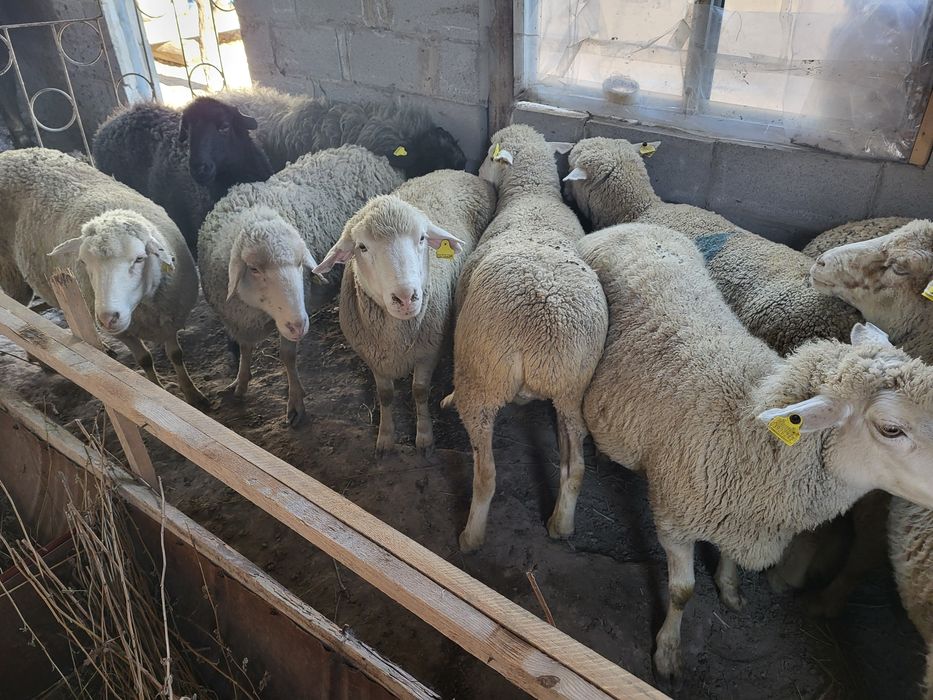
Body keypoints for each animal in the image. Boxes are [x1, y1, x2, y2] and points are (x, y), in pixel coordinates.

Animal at [0, 147, 208, 407]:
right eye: (83, 262)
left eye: (139, 258)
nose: (108, 318)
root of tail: (12, 153)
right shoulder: (126, 332)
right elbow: (145, 360)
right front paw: (158, 390)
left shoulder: (169, 316)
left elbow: (176, 354)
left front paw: (194, 395)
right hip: (11, 274)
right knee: (21, 311)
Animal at [197, 145, 404, 427]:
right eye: (254, 269)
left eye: (299, 264)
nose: (299, 325)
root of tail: (365, 153)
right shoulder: (239, 318)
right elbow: (245, 349)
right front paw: (240, 383)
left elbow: (287, 357)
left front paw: (295, 401)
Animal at [313, 170, 496, 455]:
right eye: (362, 247)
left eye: (422, 238)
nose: (407, 297)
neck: (396, 336)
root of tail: (456, 171)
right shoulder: (374, 357)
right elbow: (385, 395)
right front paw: (386, 438)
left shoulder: (428, 352)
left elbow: (419, 391)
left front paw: (424, 436)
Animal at [441, 124, 609, 552]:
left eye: (490, 152)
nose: (478, 170)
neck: (533, 196)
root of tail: (542, 335)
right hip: (572, 390)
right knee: (575, 468)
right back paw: (561, 524)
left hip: (482, 379)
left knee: (486, 476)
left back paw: (471, 537)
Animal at [578, 223, 933, 678]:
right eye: (891, 428)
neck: (746, 435)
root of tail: (631, 226)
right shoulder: (673, 520)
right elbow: (682, 592)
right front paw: (668, 652)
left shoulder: (739, 517)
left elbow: (729, 561)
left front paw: (730, 591)